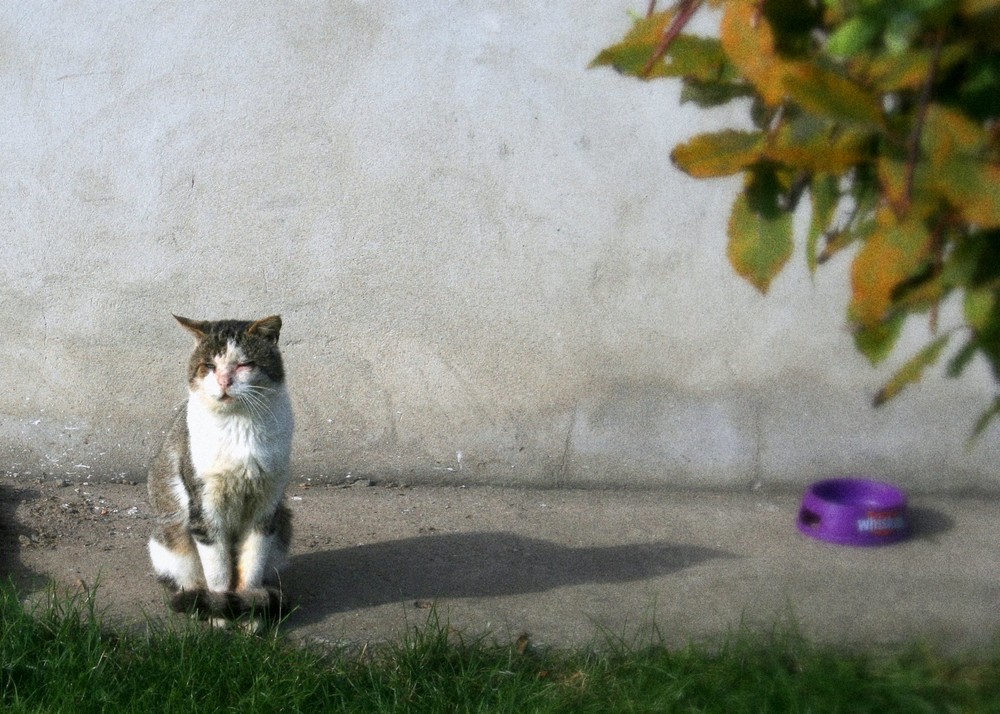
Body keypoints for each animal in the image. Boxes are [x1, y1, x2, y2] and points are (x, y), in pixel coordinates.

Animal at [146, 312, 292, 624]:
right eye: (210, 366)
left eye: (245, 364)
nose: (224, 381)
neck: (239, 426)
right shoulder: (205, 509)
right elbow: (218, 573)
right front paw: (221, 614)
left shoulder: (266, 507)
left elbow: (251, 566)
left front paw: (249, 613)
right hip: (169, 541)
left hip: (284, 524)